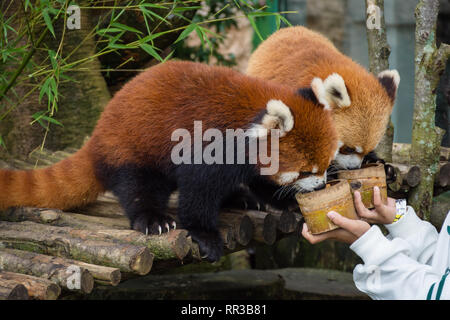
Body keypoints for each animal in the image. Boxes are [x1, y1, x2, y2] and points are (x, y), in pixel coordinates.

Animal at [0, 61, 338, 262]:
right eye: (305, 170)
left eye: (327, 163)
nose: (321, 185)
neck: (248, 117)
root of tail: (98, 135)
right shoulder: (208, 146)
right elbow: (197, 192)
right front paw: (204, 235)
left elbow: (261, 180)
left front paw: (289, 201)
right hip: (134, 149)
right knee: (139, 187)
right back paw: (153, 218)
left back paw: (238, 198)